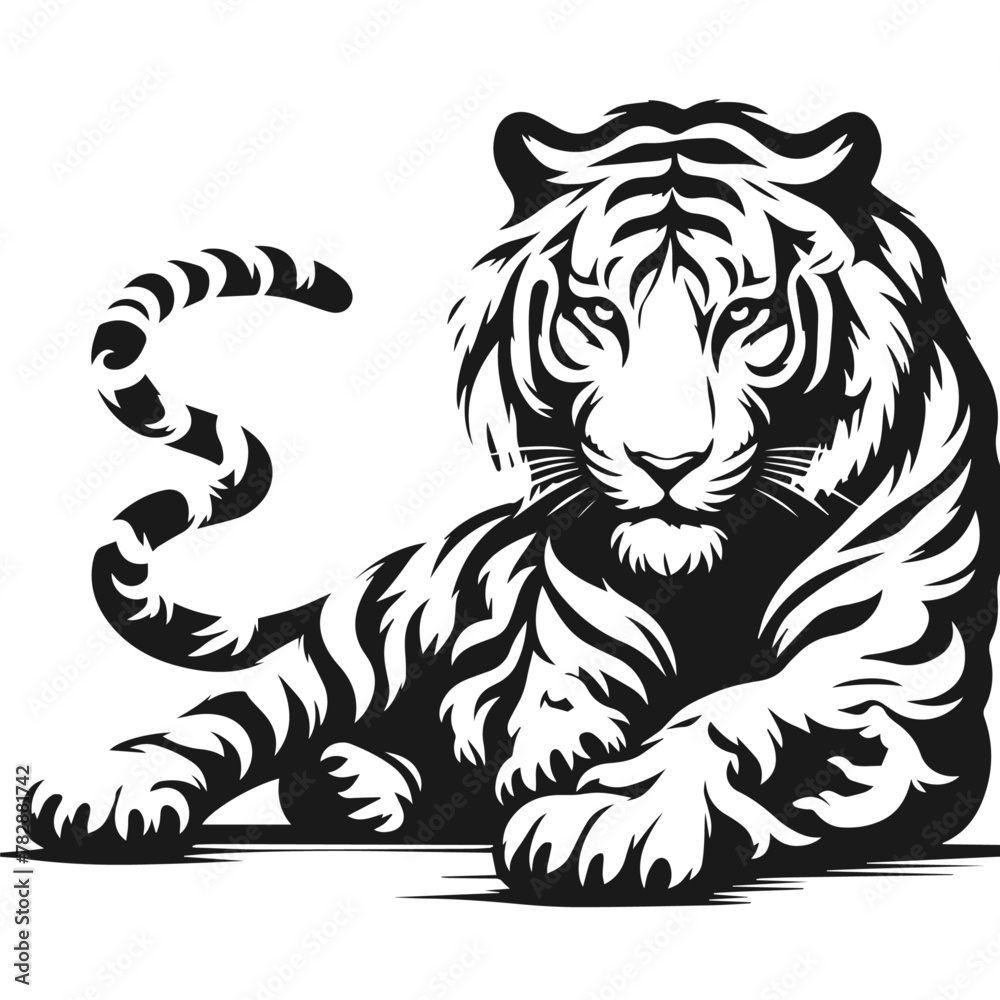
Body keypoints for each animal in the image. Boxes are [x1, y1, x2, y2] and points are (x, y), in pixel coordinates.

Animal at [27, 100, 999, 901]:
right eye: (599, 313)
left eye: (743, 316)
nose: (666, 463)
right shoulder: (574, 640)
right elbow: (561, 704)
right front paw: (555, 765)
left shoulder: (883, 677)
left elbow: (736, 718)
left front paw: (602, 818)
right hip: (357, 647)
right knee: (237, 719)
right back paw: (111, 789)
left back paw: (362, 783)